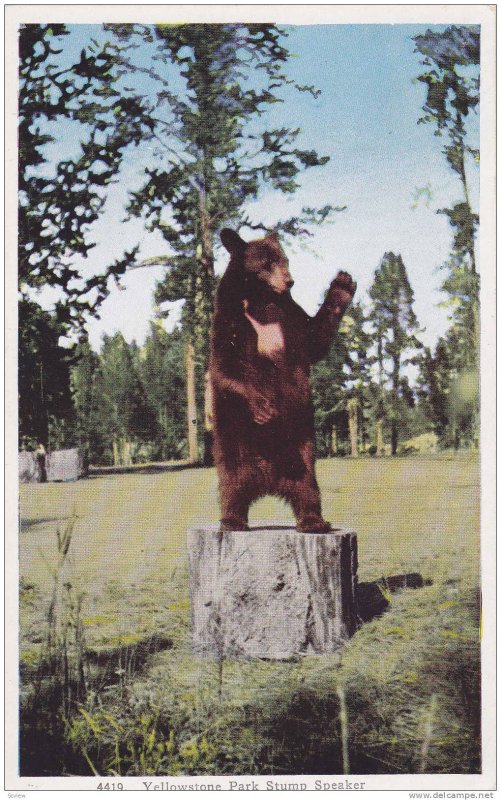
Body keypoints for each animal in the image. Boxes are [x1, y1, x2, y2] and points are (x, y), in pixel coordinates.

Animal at [208, 228, 356, 536]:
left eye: (284, 259)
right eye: (267, 262)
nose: (289, 281)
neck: (260, 300)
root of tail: (267, 480)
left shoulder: (289, 317)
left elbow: (314, 340)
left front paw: (342, 284)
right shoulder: (228, 318)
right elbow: (226, 366)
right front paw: (262, 407)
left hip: (301, 448)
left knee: (307, 485)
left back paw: (314, 521)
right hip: (232, 441)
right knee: (231, 481)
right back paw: (232, 519)